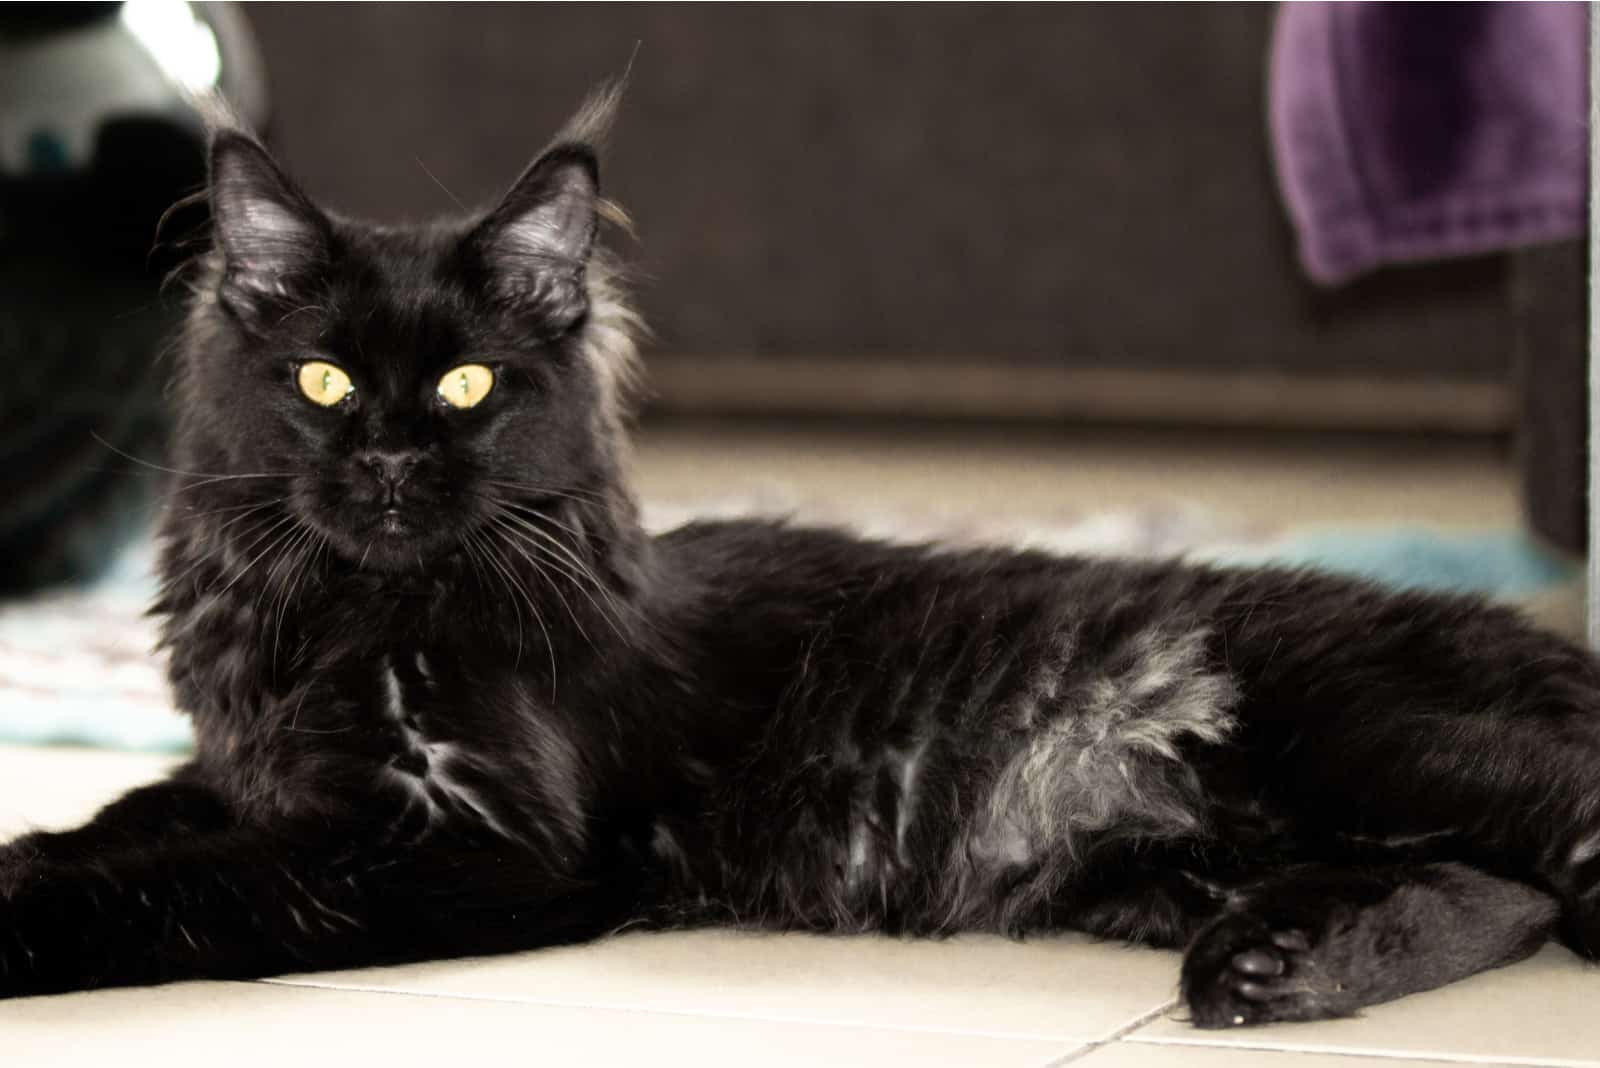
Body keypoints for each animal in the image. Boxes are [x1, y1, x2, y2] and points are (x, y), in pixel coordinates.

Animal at [3, 93, 1600, 1023]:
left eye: (466, 386)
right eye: (325, 383)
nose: (392, 463)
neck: (347, 614)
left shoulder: (477, 843)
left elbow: (190, 886)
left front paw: (28, 917)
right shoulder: (254, 767)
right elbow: (133, 819)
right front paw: (43, 844)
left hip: (1366, 739)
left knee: (1547, 846)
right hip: (1194, 855)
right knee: (1492, 893)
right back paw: (1285, 967)